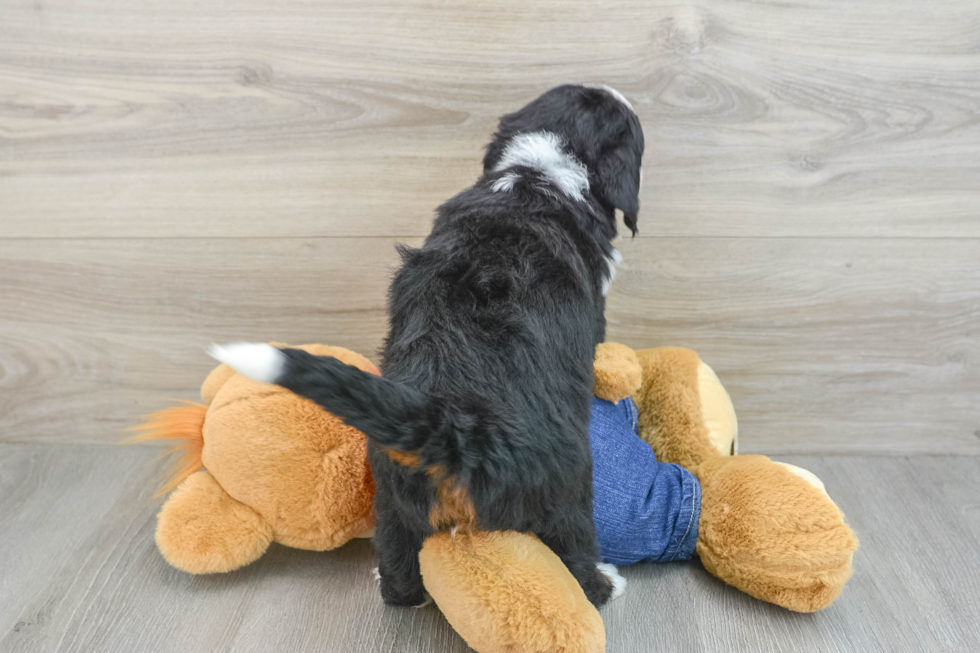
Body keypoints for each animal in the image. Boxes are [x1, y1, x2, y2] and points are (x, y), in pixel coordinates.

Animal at [212, 85, 644, 608]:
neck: (537, 171)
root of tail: (455, 426)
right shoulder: (595, 306)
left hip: (393, 495)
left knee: (398, 566)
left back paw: (396, 586)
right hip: (570, 480)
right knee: (573, 549)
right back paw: (605, 583)